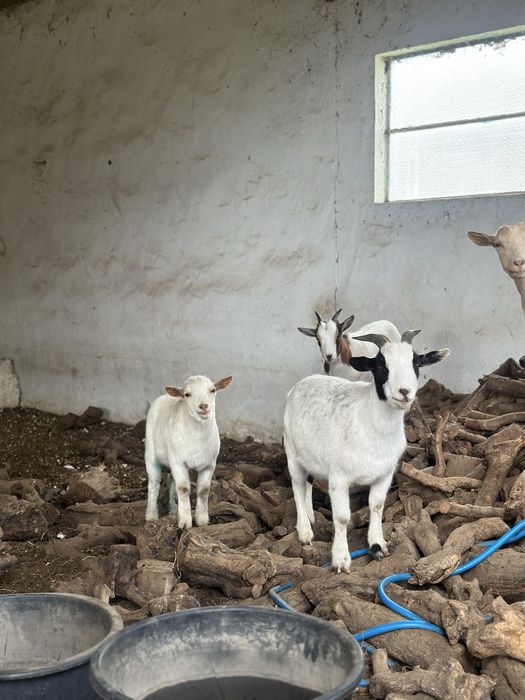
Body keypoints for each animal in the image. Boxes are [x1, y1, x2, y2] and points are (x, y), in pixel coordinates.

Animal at [145, 374, 233, 528]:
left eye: (212, 390)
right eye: (187, 394)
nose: (203, 406)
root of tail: (164, 396)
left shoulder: (210, 464)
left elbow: (203, 491)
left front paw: (202, 520)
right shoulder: (178, 462)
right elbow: (183, 489)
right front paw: (185, 522)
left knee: (171, 482)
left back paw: (174, 510)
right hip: (151, 454)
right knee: (154, 484)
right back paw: (151, 516)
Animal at [283, 330, 449, 572]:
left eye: (416, 363)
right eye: (380, 366)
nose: (405, 392)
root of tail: (301, 383)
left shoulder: (385, 474)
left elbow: (377, 506)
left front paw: (377, 545)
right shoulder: (339, 477)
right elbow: (342, 517)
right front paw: (341, 558)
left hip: (310, 457)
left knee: (308, 483)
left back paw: (311, 516)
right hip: (291, 452)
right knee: (297, 486)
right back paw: (305, 531)